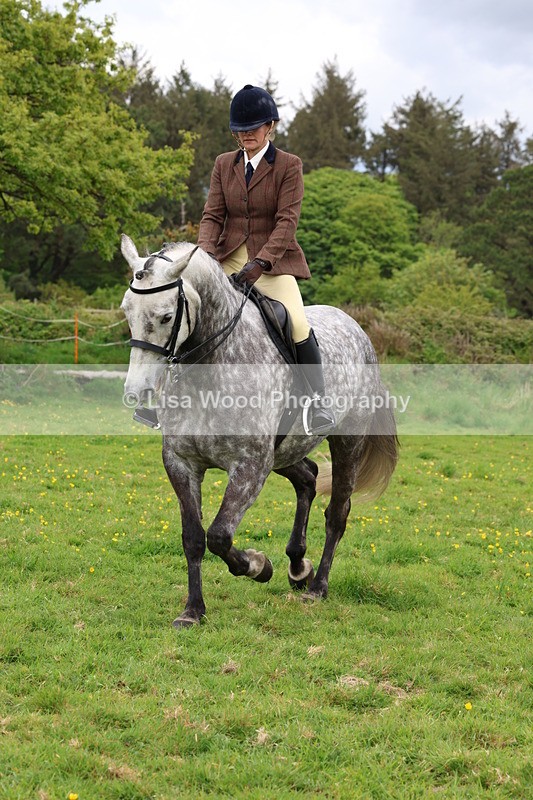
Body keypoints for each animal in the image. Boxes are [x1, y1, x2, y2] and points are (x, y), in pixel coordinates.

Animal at [120, 235, 398, 627]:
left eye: (166, 316)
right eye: (126, 311)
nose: (137, 391)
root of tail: (356, 328)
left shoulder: (250, 466)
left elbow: (219, 535)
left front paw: (258, 566)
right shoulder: (181, 463)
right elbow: (194, 538)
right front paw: (192, 611)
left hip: (347, 442)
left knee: (337, 512)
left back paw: (317, 587)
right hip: (284, 452)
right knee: (308, 478)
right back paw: (298, 566)